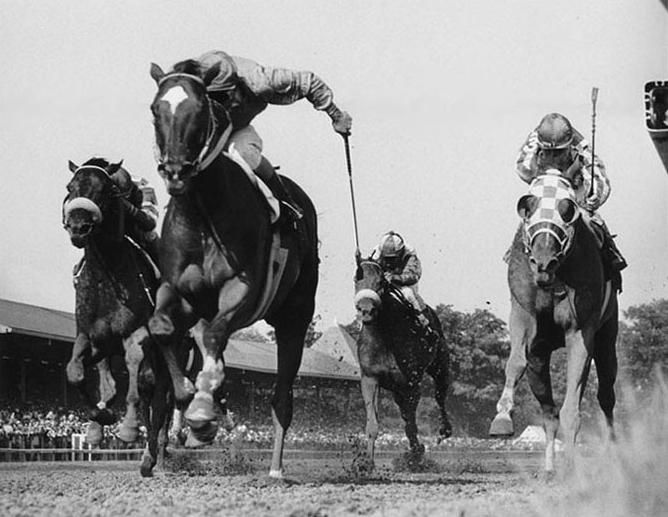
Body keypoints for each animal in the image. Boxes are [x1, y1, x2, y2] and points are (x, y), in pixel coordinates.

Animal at [62, 157, 167, 452]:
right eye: (70, 187)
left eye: (104, 190)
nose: (78, 227)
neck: (104, 276)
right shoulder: (92, 337)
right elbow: (75, 372)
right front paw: (102, 417)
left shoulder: (137, 333)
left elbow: (134, 373)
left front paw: (129, 428)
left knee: (159, 398)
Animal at [145, 59, 318, 476]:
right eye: (156, 109)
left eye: (199, 110)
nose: (175, 172)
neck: (201, 215)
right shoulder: (176, 290)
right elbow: (161, 327)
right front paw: (190, 397)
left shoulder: (243, 287)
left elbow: (215, 335)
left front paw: (203, 406)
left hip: (295, 316)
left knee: (281, 394)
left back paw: (275, 467)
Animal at [352, 260, 452, 466]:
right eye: (356, 278)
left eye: (381, 282)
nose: (366, 310)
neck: (384, 336)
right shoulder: (370, 378)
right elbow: (373, 424)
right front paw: (367, 464)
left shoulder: (412, 383)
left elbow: (411, 424)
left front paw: (416, 455)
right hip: (396, 389)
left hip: (440, 365)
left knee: (440, 396)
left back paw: (444, 430)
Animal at [488, 171, 620, 470]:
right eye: (528, 207)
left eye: (567, 209)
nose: (543, 262)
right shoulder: (523, 315)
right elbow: (515, 363)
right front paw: (502, 418)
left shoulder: (581, 330)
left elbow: (573, 406)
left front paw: (573, 467)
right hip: (541, 356)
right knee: (548, 412)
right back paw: (549, 467)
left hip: (608, 334)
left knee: (606, 394)